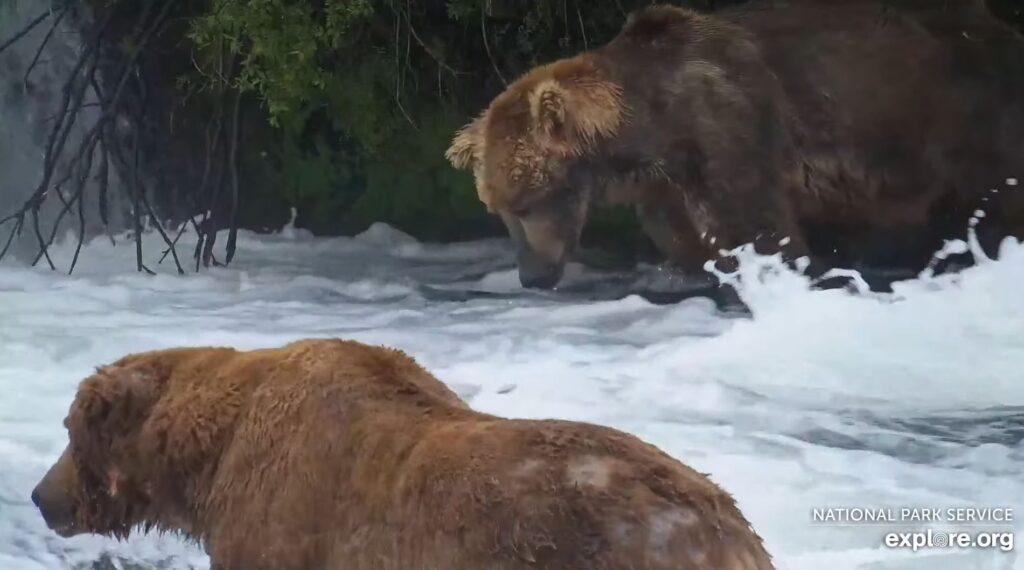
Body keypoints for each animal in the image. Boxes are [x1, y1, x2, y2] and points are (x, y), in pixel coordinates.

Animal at [448, 0, 1024, 288]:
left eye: (528, 200)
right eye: (498, 208)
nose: (531, 276)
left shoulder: (729, 129)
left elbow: (757, 229)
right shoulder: (664, 184)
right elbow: (682, 238)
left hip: (961, 118)